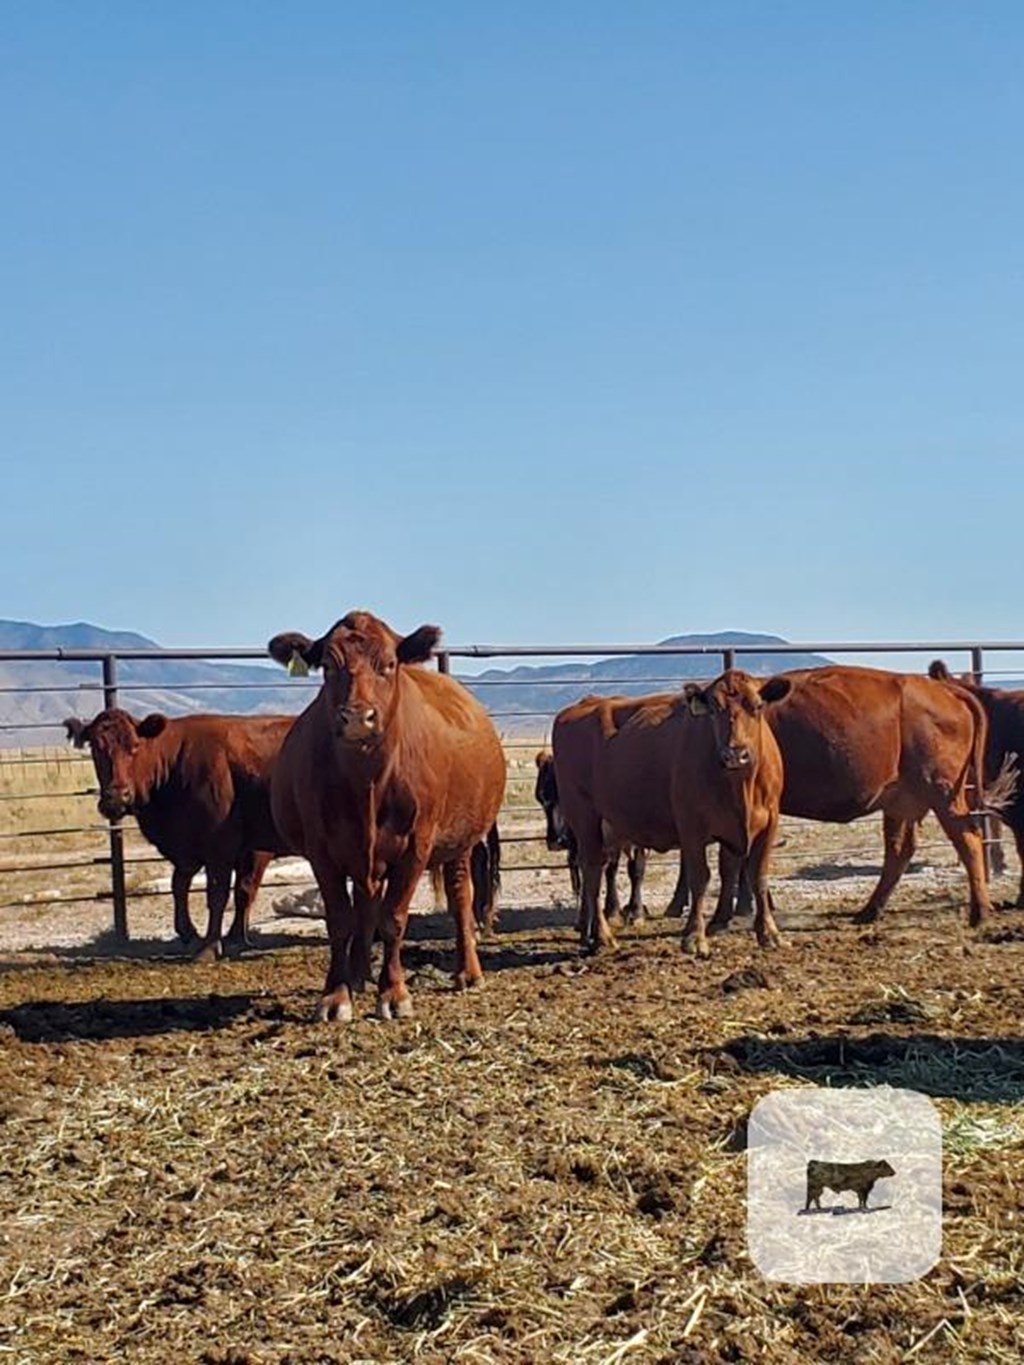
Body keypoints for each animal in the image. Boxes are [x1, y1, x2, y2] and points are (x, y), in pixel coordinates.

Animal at [65, 709, 292, 955]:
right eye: (96, 747)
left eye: (134, 746)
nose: (117, 797)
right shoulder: (189, 851)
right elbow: (179, 886)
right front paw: (194, 934)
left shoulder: (232, 847)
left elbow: (227, 892)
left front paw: (213, 945)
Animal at [264, 611, 505, 1026]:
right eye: (327, 665)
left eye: (390, 664)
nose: (358, 717)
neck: (367, 783)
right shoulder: (322, 851)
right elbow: (341, 920)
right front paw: (337, 995)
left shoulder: (416, 846)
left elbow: (393, 919)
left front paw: (393, 993)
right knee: (365, 905)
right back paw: (359, 975)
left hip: (461, 842)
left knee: (460, 895)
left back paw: (468, 971)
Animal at [554, 674, 786, 955]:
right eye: (714, 709)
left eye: (757, 706)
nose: (735, 754)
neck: (741, 786)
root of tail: (580, 707)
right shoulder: (692, 825)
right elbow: (700, 878)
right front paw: (694, 937)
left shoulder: (767, 822)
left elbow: (756, 876)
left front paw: (769, 932)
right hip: (584, 817)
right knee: (592, 871)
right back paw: (602, 936)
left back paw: (588, 936)